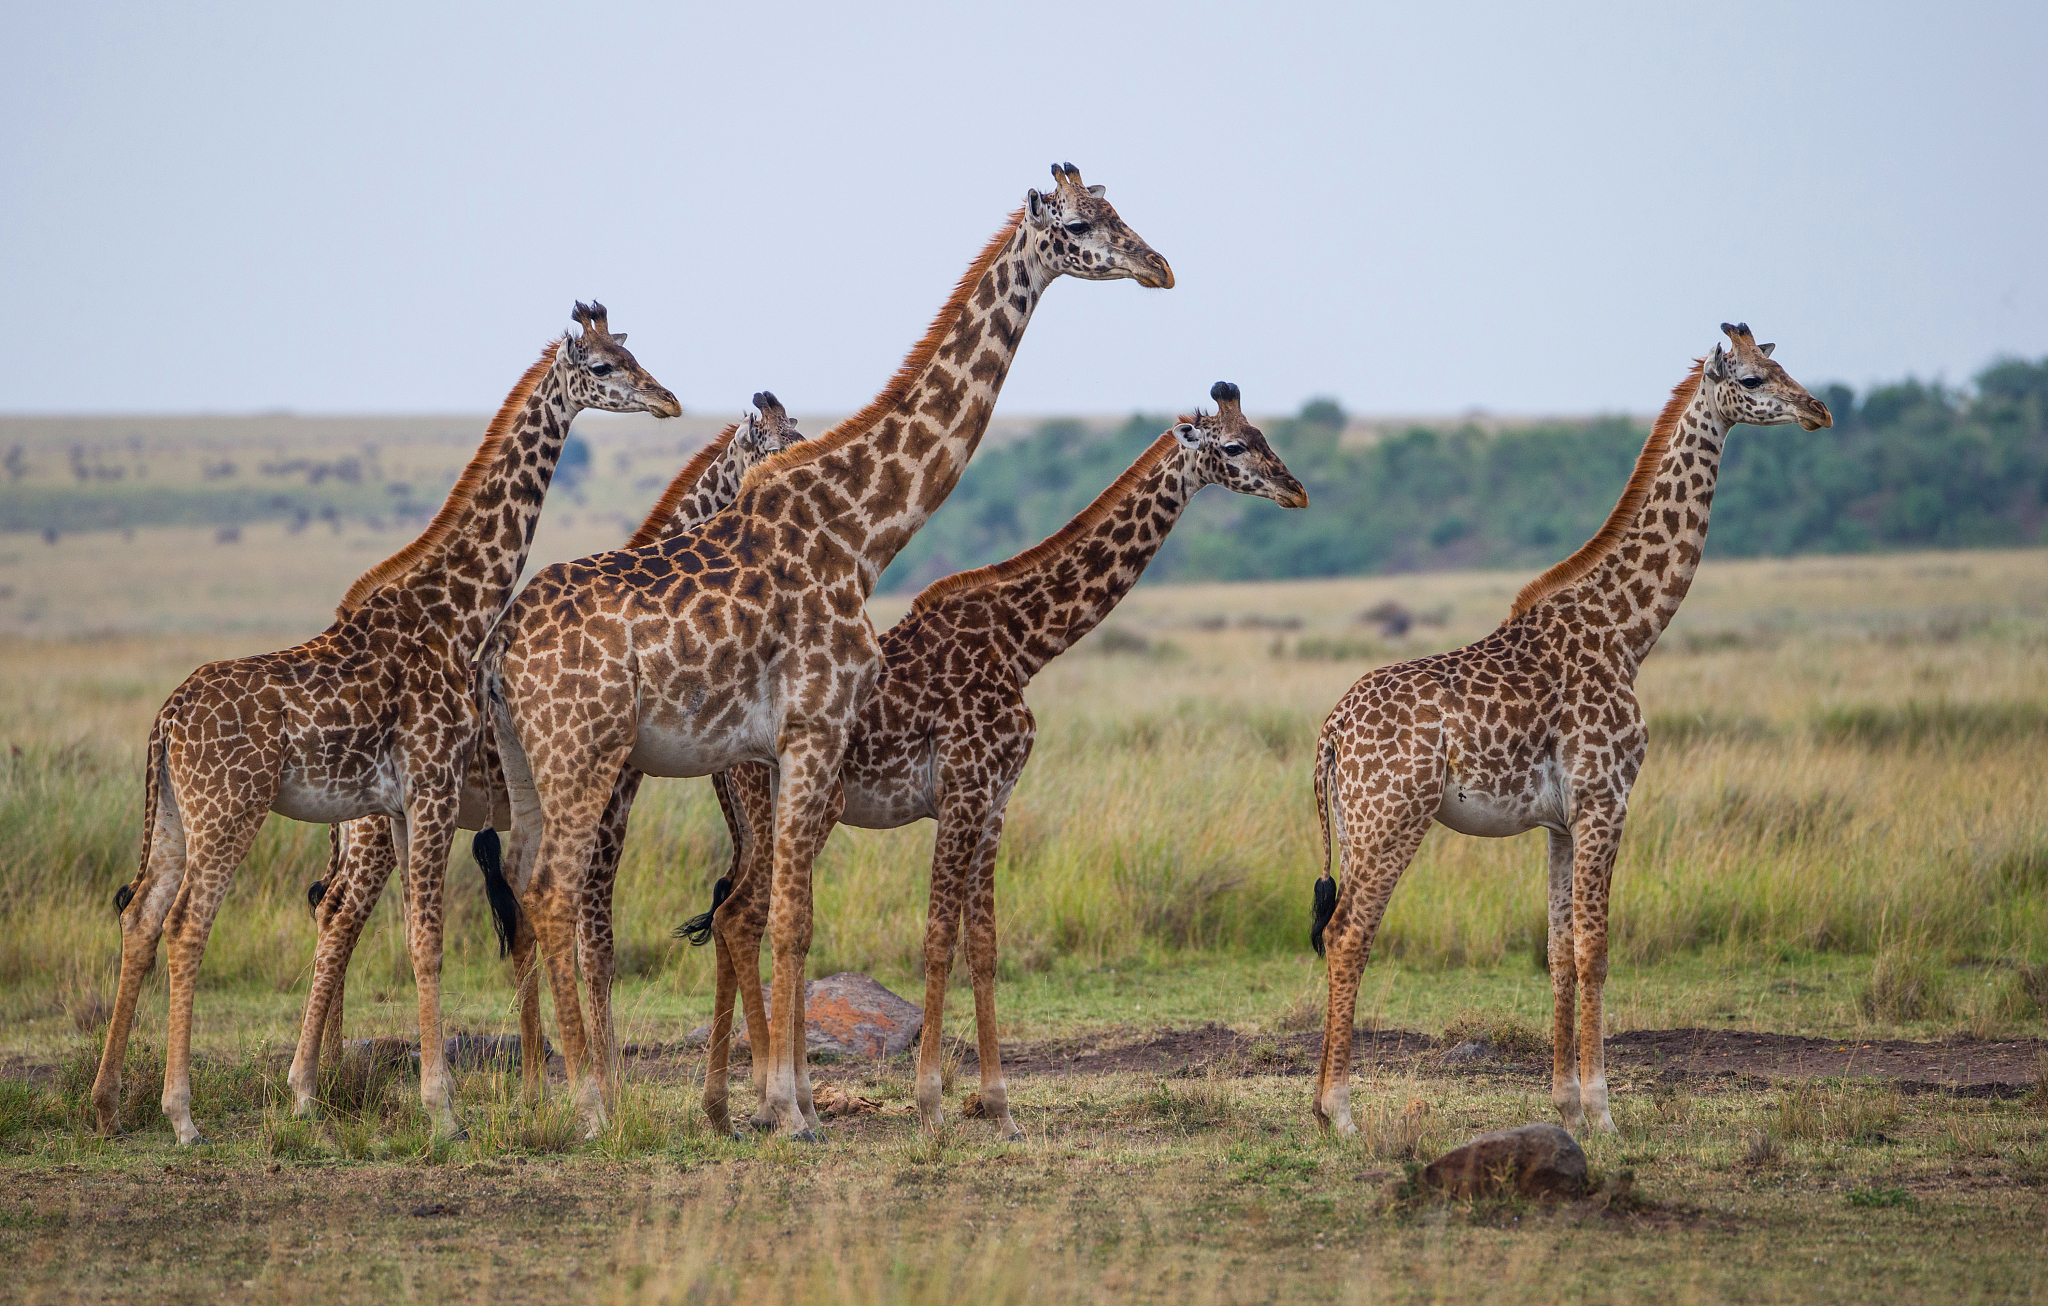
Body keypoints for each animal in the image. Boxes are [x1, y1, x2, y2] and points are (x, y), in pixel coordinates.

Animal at [90, 304, 679, 1143]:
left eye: (631, 354)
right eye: (601, 368)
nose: (668, 400)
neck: (454, 614)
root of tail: (164, 723)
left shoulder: (404, 803)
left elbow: (412, 938)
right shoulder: (432, 784)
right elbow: (430, 941)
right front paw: (445, 1113)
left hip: (174, 812)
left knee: (142, 916)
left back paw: (108, 1105)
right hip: (229, 810)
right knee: (187, 926)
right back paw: (182, 1116)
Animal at [283, 396, 805, 1118]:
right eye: (778, 448)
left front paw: (545, 1085)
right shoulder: (610, 797)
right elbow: (593, 939)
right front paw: (604, 1085)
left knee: (328, 902)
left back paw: (333, 1071)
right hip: (374, 822)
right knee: (339, 912)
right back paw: (314, 1086)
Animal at [487, 164, 1174, 1138]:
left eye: (1120, 211)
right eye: (1080, 225)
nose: (1159, 267)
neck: (861, 531)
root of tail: (501, 645)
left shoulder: (793, 746)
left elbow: (785, 914)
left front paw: (779, 1101)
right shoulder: (813, 728)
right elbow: (790, 921)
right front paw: (791, 1110)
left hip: (528, 761)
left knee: (533, 893)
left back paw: (556, 1098)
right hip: (584, 754)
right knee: (557, 895)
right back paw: (593, 1108)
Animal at [683, 382, 1307, 1138]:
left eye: (1266, 434)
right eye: (1237, 445)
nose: (1296, 490)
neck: (1023, 643)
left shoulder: (997, 801)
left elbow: (983, 944)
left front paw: (1000, 1108)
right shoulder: (963, 792)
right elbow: (936, 938)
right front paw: (930, 1104)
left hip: (764, 816)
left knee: (735, 913)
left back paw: (732, 1106)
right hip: (802, 804)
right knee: (749, 916)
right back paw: (776, 1105)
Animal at [1307, 324, 1831, 1136]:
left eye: (1780, 363)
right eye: (1751, 377)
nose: (1818, 411)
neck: (1630, 633)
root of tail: (1331, 733)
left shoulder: (1558, 819)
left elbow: (1556, 951)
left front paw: (1563, 1103)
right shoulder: (1605, 800)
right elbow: (1596, 949)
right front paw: (1603, 1110)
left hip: (1360, 822)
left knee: (1340, 932)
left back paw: (1322, 1106)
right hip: (1392, 817)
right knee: (1348, 933)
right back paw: (1340, 1113)